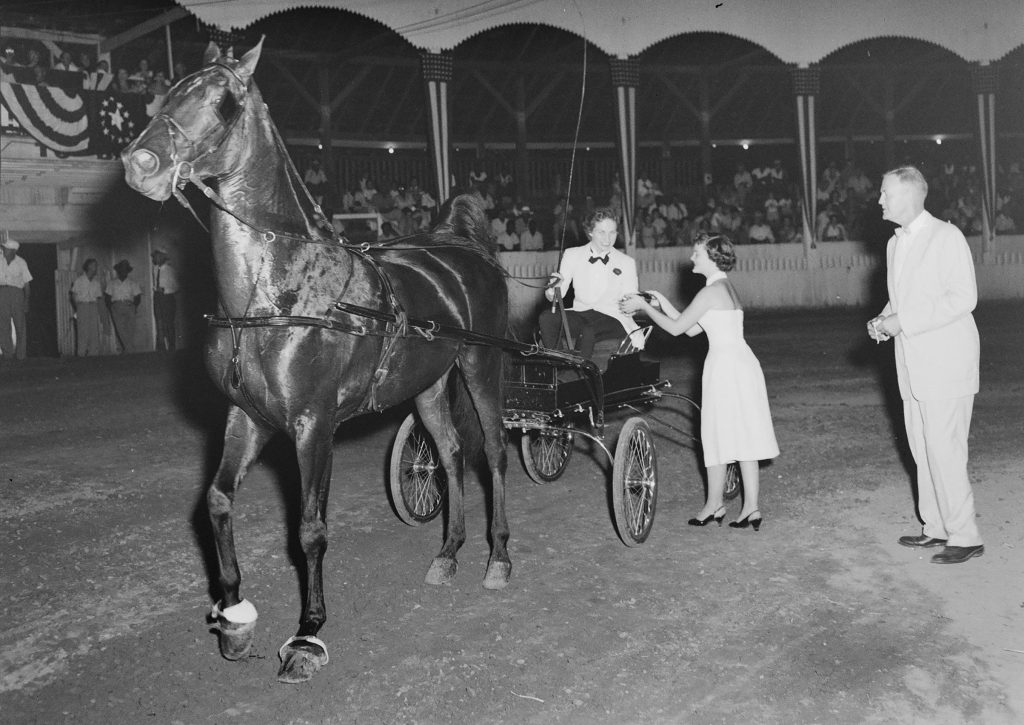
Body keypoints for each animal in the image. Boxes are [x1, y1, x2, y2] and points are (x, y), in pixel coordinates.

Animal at [121, 39, 511, 683]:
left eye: (223, 102)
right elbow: (217, 501)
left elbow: (309, 529)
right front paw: (234, 618)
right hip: (429, 383)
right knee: (452, 453)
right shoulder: (246, 417)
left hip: (482, 367)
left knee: (496, 455)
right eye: (166, 92)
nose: (140, 164)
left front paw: (308, 635)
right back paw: (448, 553)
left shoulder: (313, 424)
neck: (273, 295)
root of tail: (460, 244)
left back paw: (499, 557)